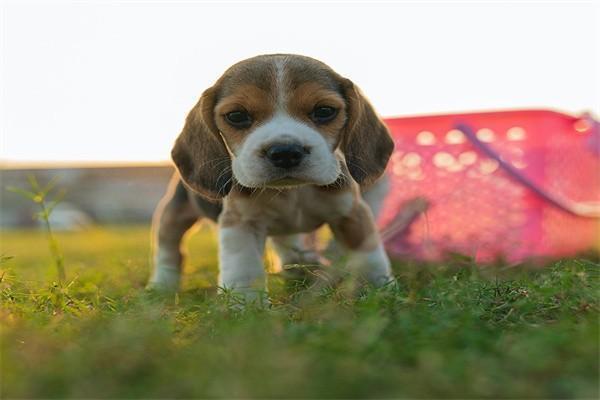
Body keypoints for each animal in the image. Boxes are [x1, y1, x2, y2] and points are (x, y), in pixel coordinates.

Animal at [148, 53, 396, 298]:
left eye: (324, 111)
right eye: (236, 115)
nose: (285, 152)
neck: (293, 192)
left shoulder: (352, 214)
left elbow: (370, 256)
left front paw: (380, 290)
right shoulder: (240, 223)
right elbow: (245, 270)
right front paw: (245, 304)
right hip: (173, 215)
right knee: (170, 251)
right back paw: (162, 285)